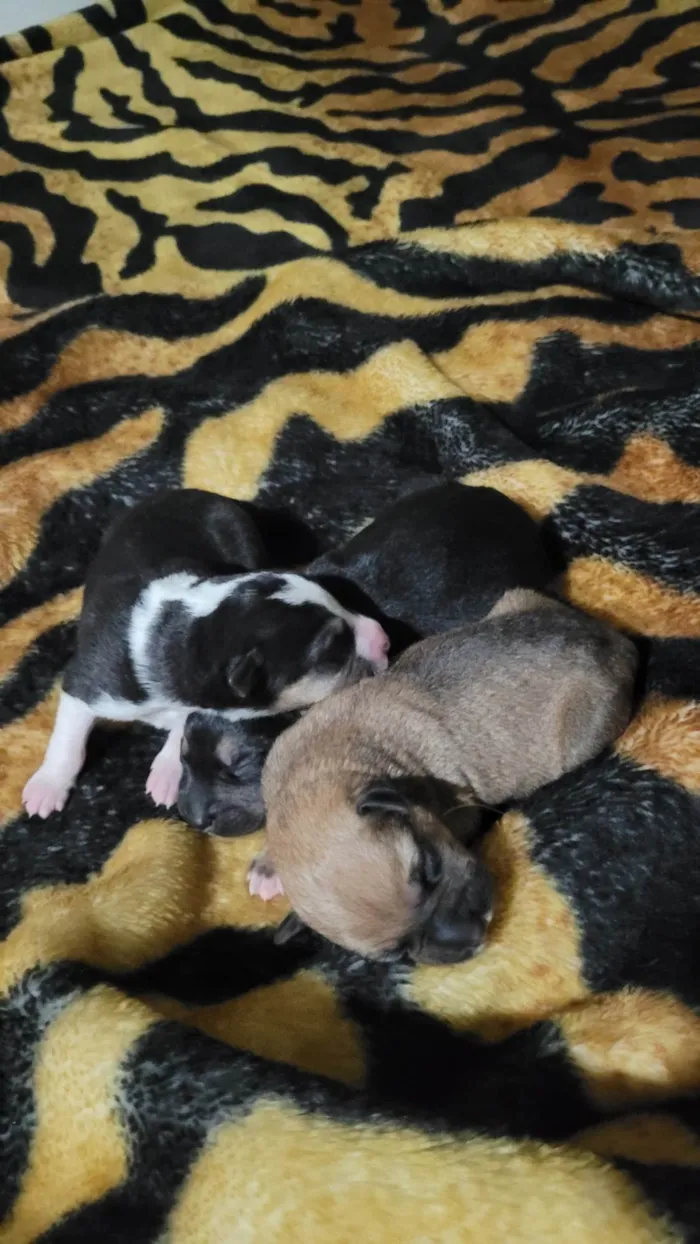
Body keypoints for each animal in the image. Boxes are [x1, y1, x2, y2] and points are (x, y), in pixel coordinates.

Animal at [21, 490, 392, 821]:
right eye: (332, 650)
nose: (385, 639)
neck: (184, 631)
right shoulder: (89, 678)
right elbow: (69, 736)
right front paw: (48, 786)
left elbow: (184, 724)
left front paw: (167, 772)